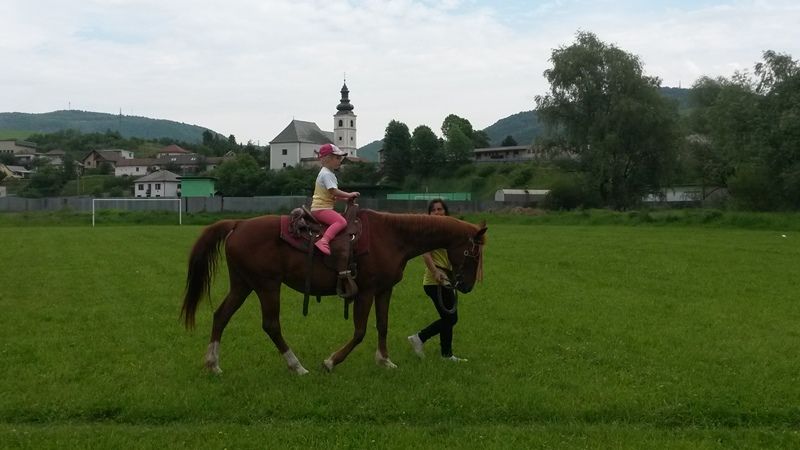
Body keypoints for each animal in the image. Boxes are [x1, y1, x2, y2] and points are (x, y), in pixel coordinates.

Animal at [180, 208, 487, 374]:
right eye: (473, 254)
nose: (466, 286)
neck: (390, 236)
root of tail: (238, 224)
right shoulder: (365, 291)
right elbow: (360, 331)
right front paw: (331, 361)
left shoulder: (384, 290)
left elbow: (383, 325)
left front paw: (385, 361)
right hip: (267, 285)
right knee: (271, 325)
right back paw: (297, 366)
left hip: (243, 284)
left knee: (221, 315)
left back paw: (213, 364)